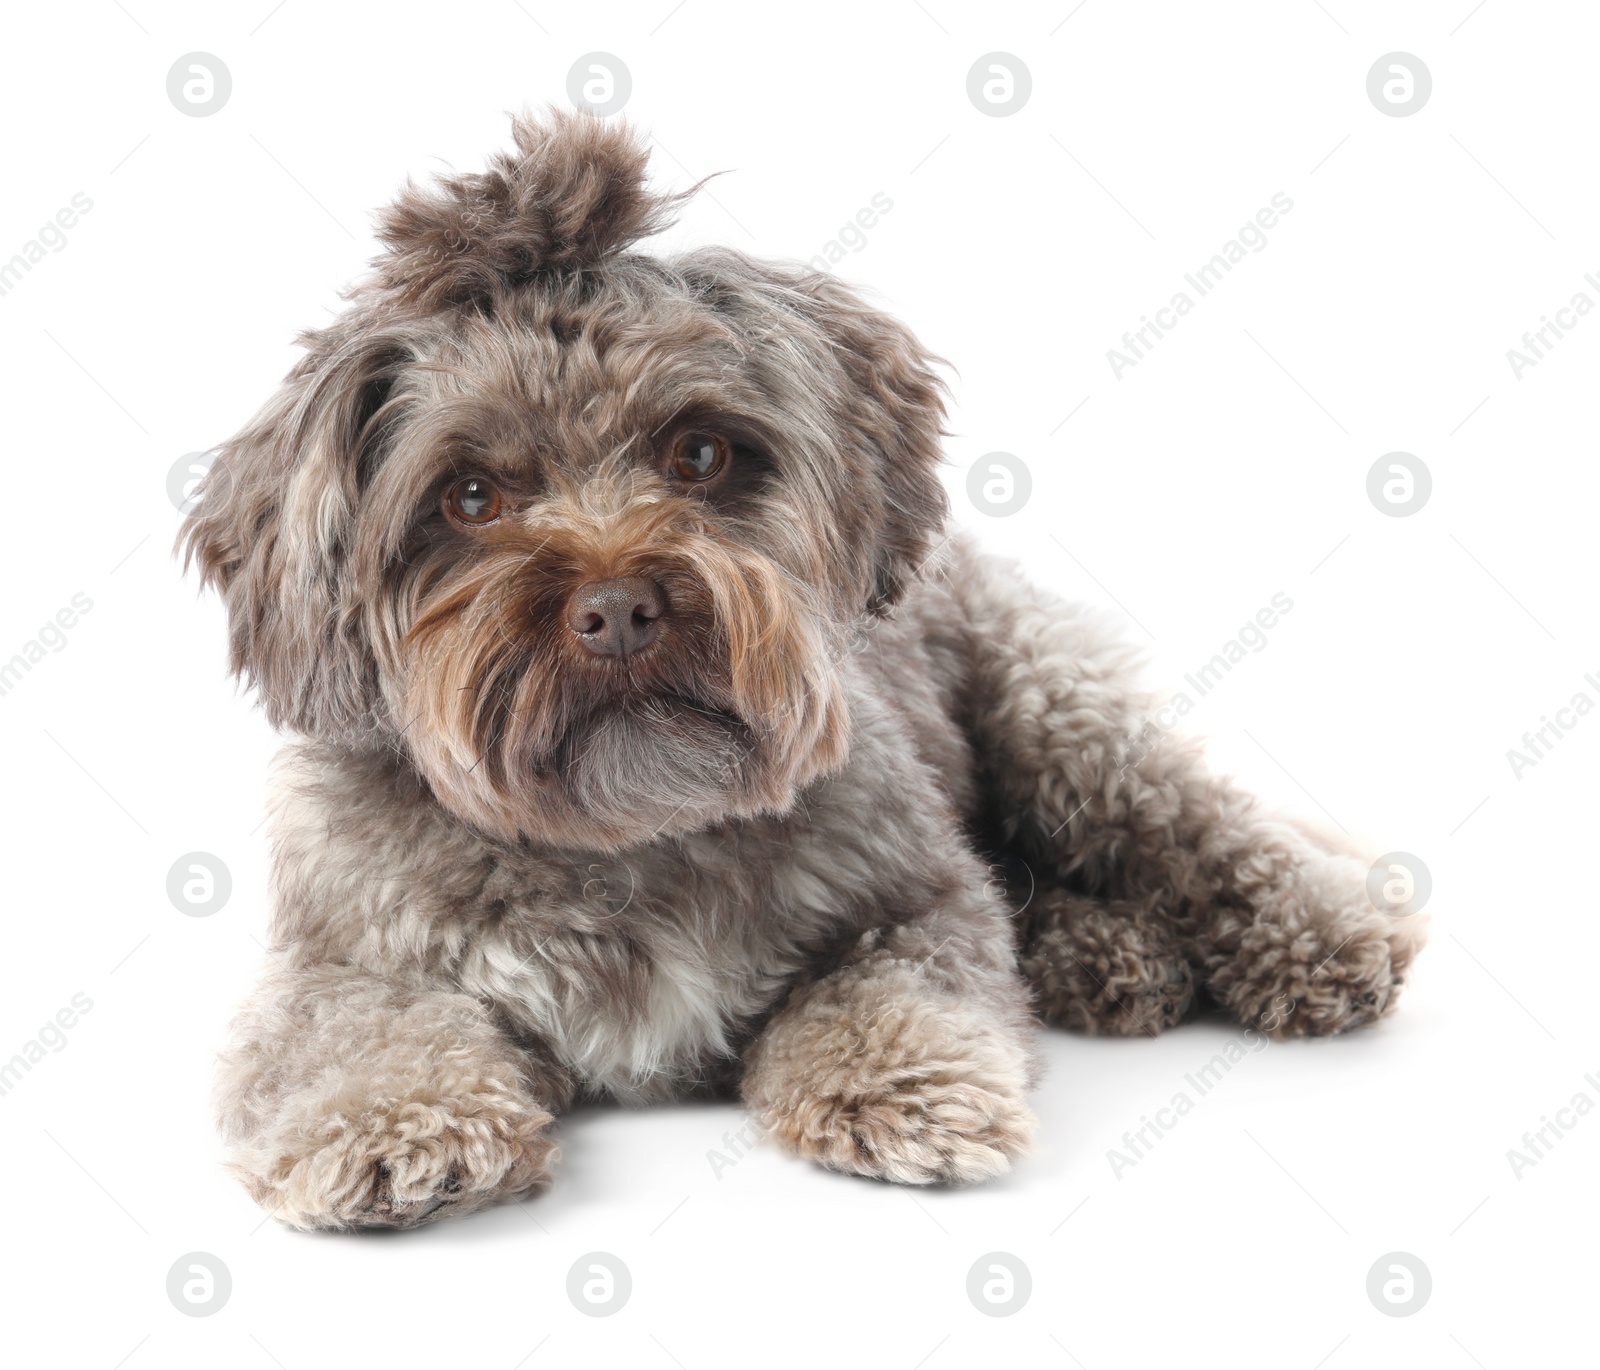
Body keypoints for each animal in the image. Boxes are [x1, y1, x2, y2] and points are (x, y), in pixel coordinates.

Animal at [184, 112, 1427, 1229]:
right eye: (471, 495)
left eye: (698, 452)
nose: (618, 605)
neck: (630, 836)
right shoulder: (338, 951)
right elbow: (354, 1029)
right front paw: (389, 1119)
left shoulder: (919, 894)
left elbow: (889, 981)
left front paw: (900, 1079)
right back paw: (1109, 953)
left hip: (1059, 722)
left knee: (1207, 832)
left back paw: (1315, 934)